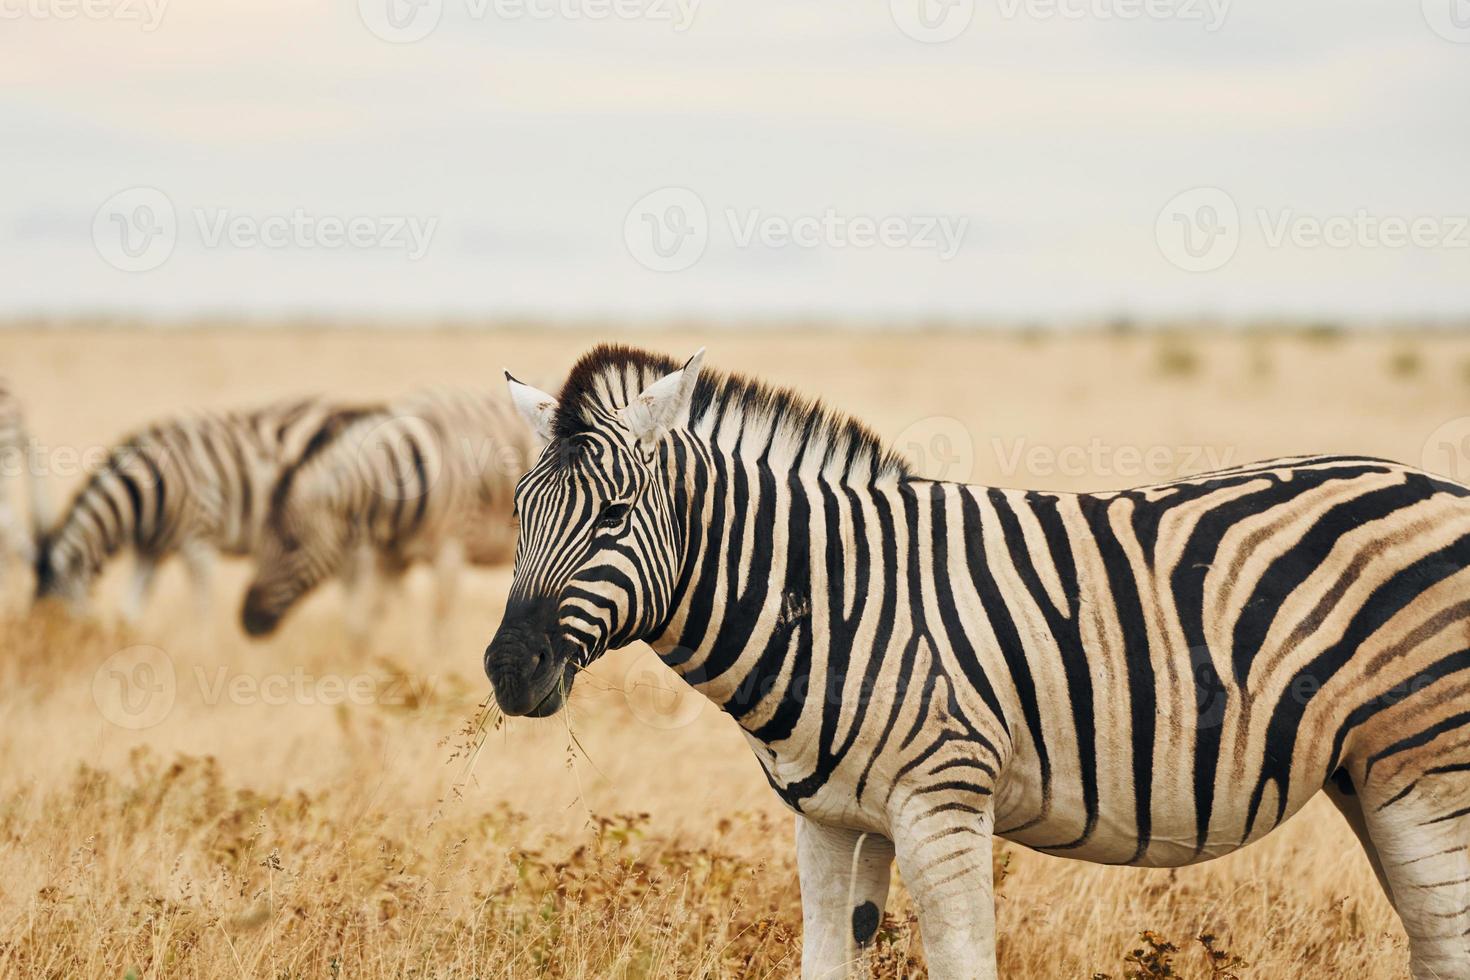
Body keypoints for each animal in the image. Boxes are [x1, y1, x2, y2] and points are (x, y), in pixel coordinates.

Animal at [35, 396, 358, 620]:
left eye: (54, 617)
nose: (44, 647)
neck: (151, 492)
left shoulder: (198, 543)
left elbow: (201, 610)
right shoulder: (151, 550)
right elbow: (130, 610)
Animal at [241, 382, 535, 643]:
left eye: (292, 544)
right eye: (258, 541)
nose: (247, 620)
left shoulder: (450, 550)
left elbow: (440, 626)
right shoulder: (391, 558)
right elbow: (376, 617)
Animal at [485, 340, 1470, 975]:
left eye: (614, 516)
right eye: (518, 512)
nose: (506, 670)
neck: (833, 602)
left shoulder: (944, 804)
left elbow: (966, 962)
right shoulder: (832, 822)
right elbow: (828, 961)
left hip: (1425, 770)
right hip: (1368, 780)